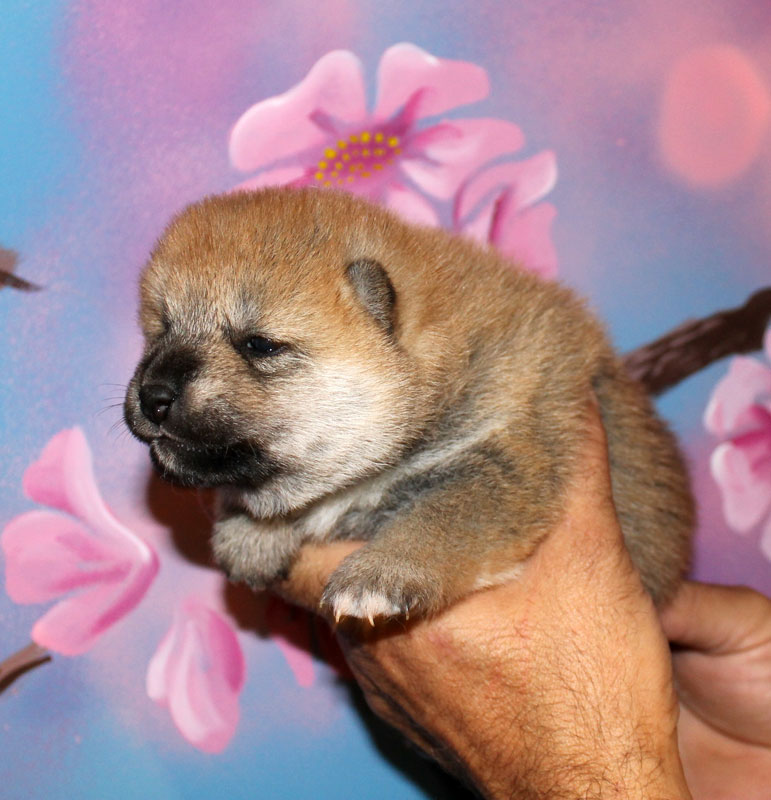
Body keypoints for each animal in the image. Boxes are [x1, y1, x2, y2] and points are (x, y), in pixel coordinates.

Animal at [124, 187, 692, 622]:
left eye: (259, 345)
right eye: (162, 329)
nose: (152, 396)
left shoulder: (510, 451)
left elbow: (440, 514)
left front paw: (378, 575)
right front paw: (251, 534)